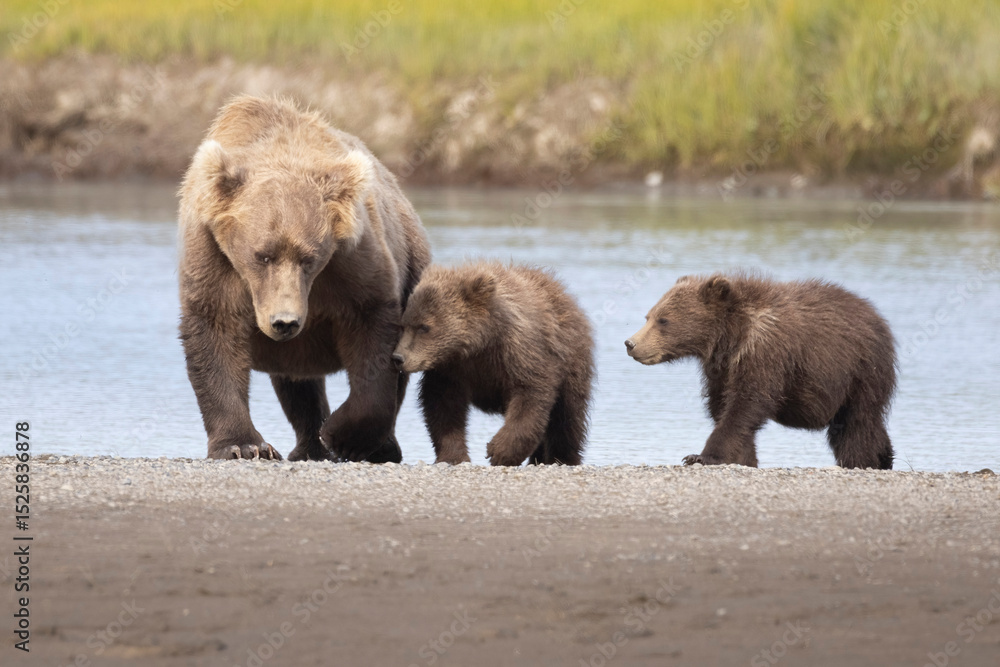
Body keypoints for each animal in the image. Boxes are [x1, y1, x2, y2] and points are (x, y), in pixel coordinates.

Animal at [178, 95, 430, 462]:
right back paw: (309, 445)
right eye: (262, 255)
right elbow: (215, 329)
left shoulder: (351, 262)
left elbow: (373, 334)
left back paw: (379, 446)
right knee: (297, 384)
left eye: (308, 259)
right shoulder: (215, 256)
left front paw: (344, 435)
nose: (285, 322)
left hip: (412, 261)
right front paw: (243, 445)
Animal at [391, 262, 595, 466]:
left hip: (572, 362)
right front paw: (453, 456)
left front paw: (499, 451)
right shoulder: (451, 368)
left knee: (567, 416)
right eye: (403, 324)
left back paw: (562, 457)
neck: (481, 345)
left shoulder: (521, 353)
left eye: (424, 327)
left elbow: (530, 395)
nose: (398, 357)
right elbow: (443, 405)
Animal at [625, 273, 896, 469]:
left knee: (856, 423)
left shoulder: (765, 355)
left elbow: (745, 404)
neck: (731, 337)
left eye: (664, 320)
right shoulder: (721, 369)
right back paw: (885, 457)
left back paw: (861, 461)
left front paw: (700, 456)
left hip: (860, 372)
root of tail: (877, 317)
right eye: (649, 316)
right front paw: (745, 458)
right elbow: (723, 407)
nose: (630, 343)